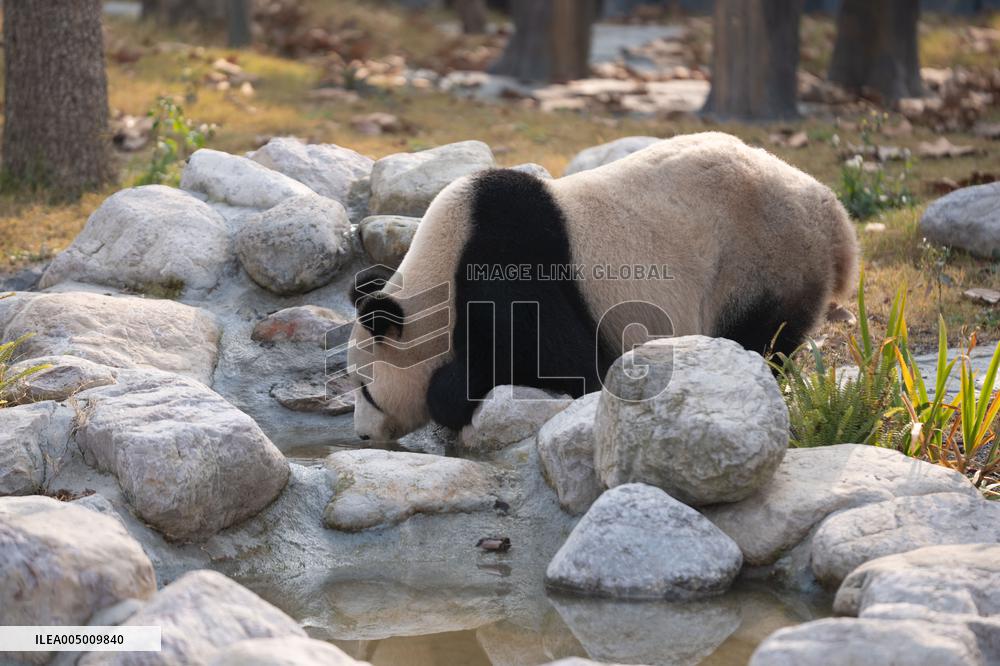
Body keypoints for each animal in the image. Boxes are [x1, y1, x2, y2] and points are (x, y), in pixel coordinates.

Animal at [347, 132, 858, 441]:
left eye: (365, 389)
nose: (362, 434)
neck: (442, 263)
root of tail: (835, 217)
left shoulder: (507, 266)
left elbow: (572, 366)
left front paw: (453, 390)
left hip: (761, 260)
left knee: (761, 336)